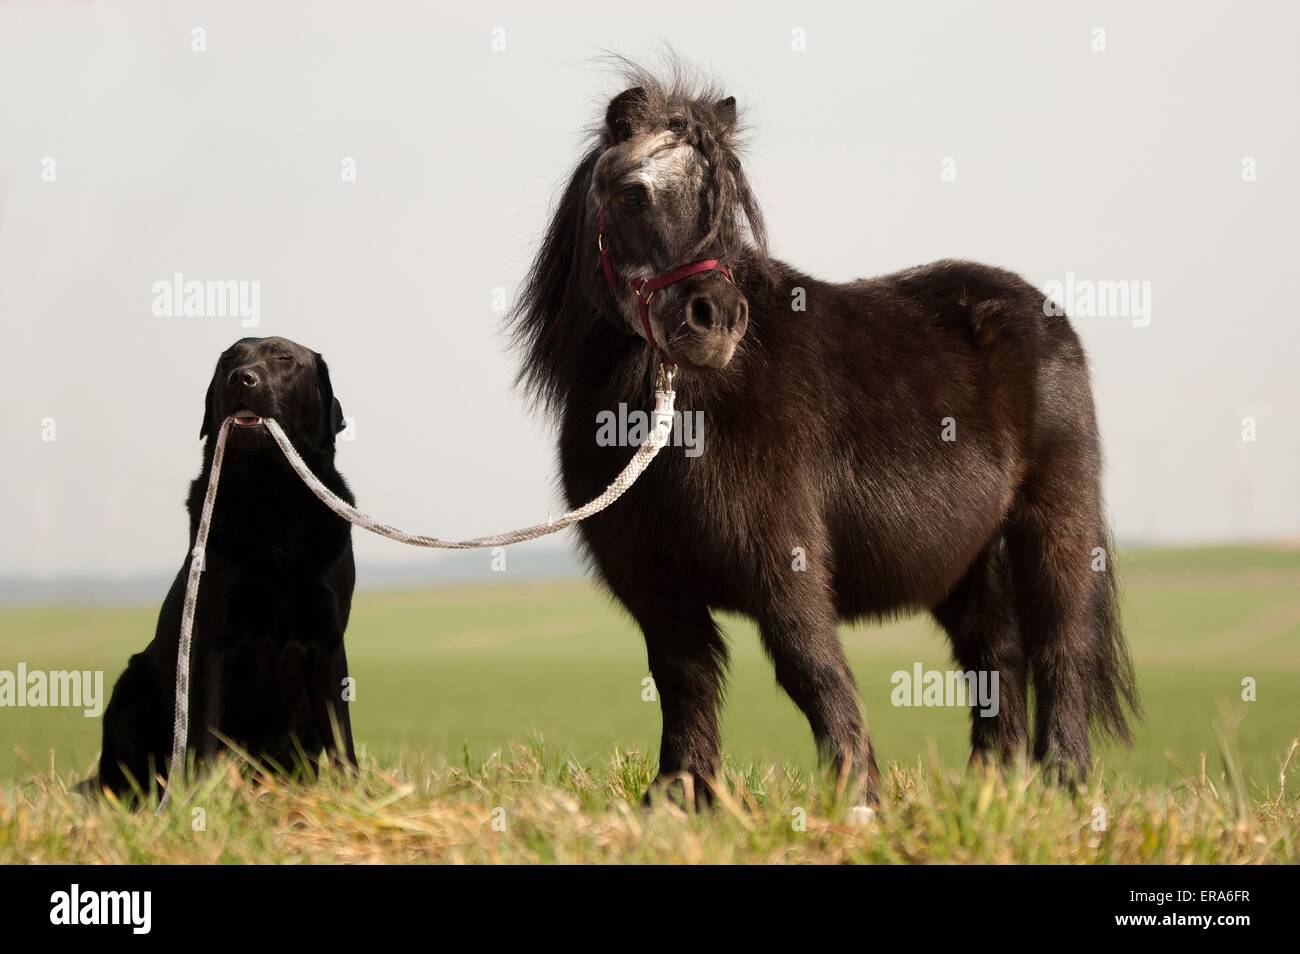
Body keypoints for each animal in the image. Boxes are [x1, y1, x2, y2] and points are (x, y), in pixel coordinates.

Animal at [92, 335, 358, 800]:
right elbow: (202, 735)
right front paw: (198, 797)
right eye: (229, 360)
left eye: (284, 359)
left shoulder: (326, 640)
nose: (241, 378)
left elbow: (341, 736)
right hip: (131, 686)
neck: (272, 500)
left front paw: (357, 794)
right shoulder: (211, 640)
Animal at [509, 63, 1138, 805]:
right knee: (995, 654)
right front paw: (681, 796)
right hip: (967, 556)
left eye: (728, 205)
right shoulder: (651, 581)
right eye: (635, 195)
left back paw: (1063, 786)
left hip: (1055, 519)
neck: (678, 416)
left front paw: (856, 794)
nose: (713, 320)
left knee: (1062, 645)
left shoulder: (782, 554)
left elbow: (807, 663)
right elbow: (682, 678)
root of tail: (1043, 312)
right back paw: (989, 791)